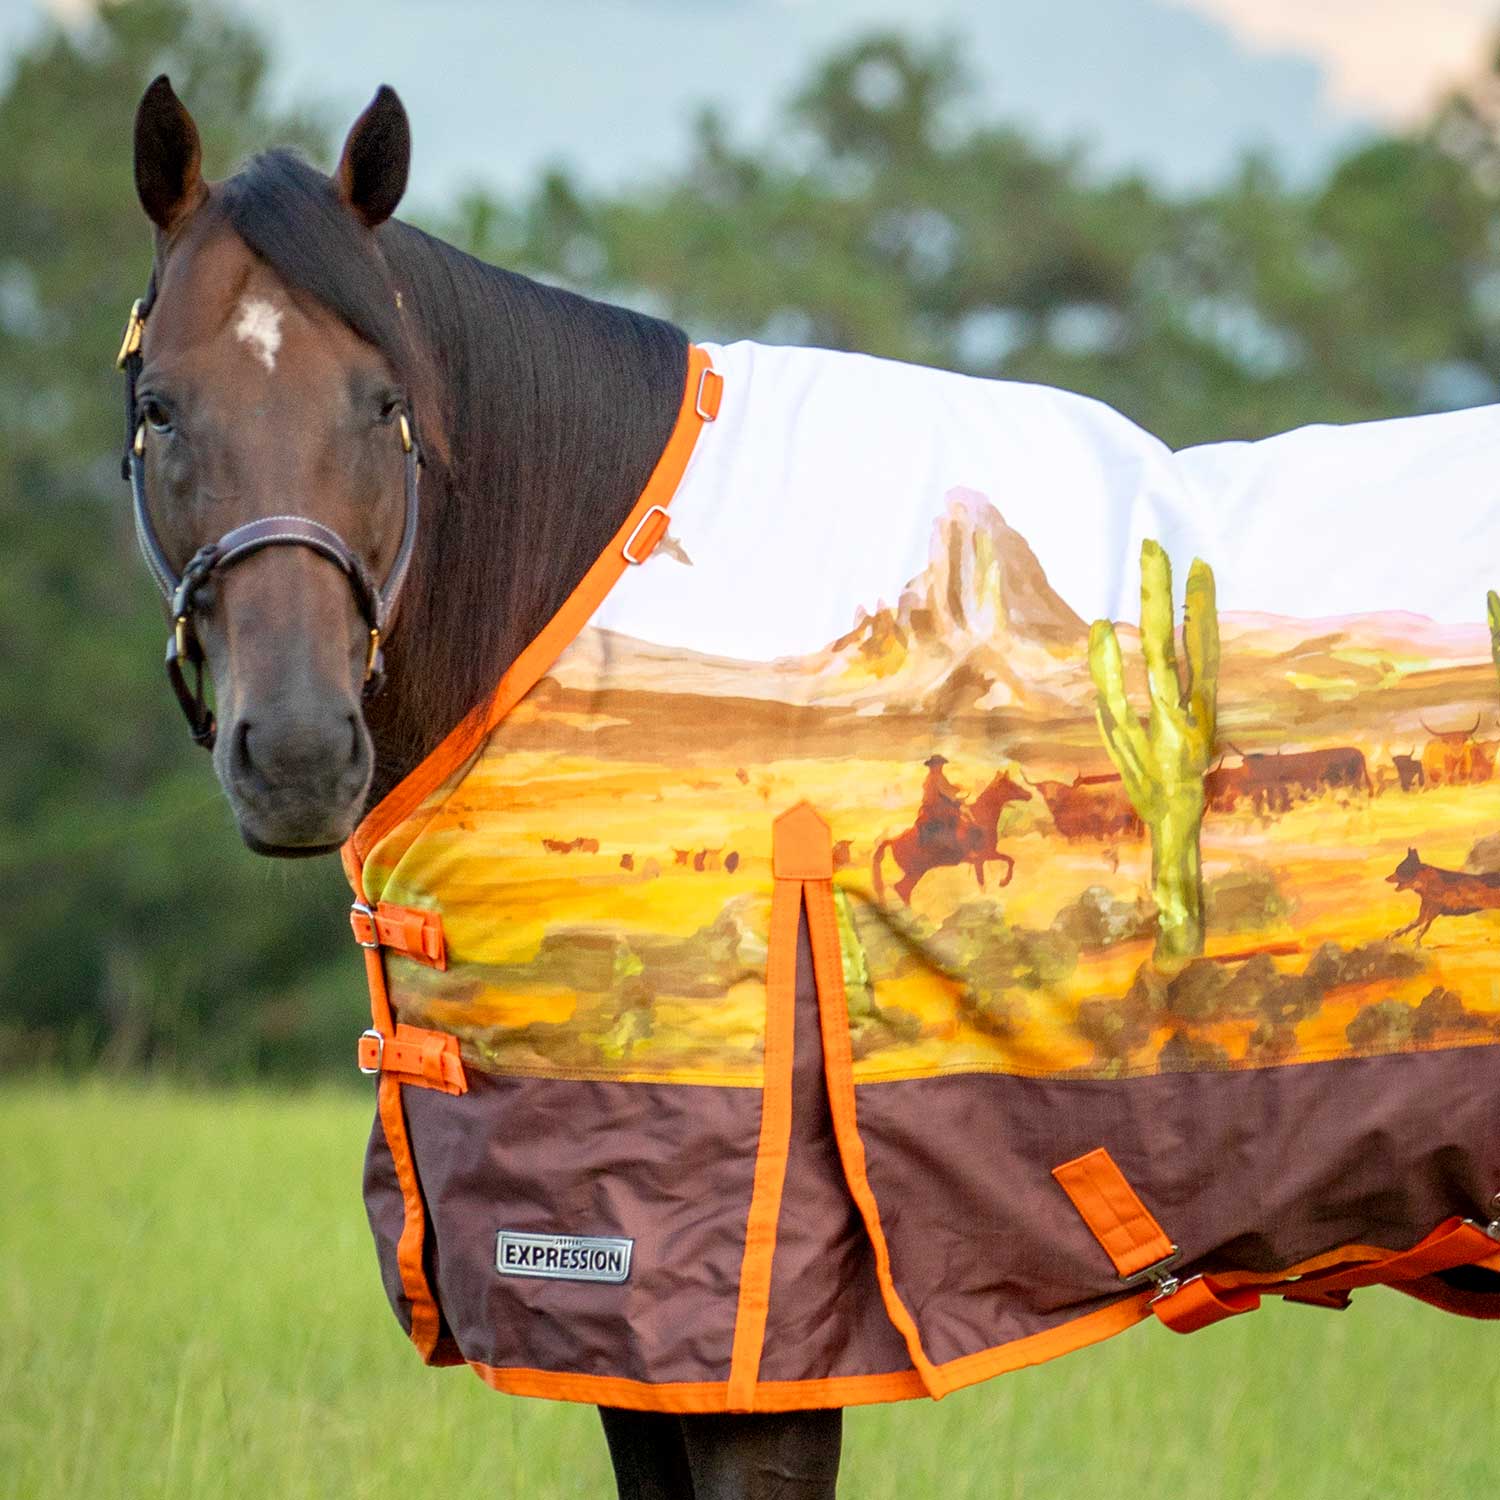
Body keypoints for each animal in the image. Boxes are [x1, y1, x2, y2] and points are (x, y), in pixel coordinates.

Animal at [871, 768, 1032, 905]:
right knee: (902, 889)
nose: (1029, 795)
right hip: (915, 872)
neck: (981, 818)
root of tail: (892, 840)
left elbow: (995, 872)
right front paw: (1003, 882)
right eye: (1011, 786)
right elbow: (1006, 863)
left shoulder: (980, 860)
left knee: (903, 890)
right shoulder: (984, 856)